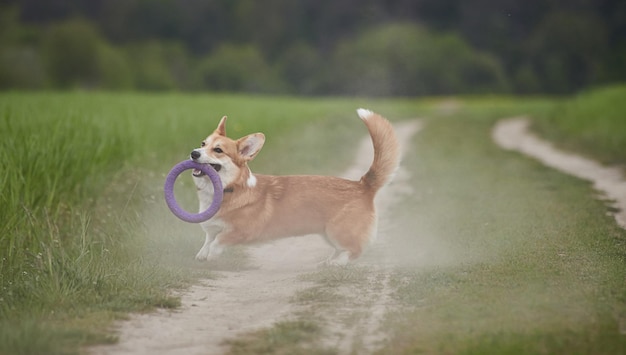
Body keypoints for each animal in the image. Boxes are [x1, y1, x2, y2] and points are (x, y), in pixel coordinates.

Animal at [188, 110, 398, 266]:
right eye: (203, 143)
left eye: (218, 150)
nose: (193, 153)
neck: (229, 188)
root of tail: (363, 184)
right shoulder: (211, 229)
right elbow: (208, 241)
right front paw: (202, 255)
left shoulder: (242, 232)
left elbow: (219, 241)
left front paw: (212, 255)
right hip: (328, 233)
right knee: (341, 249)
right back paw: (329, 261)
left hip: (337, 231)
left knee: (355, 250)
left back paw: (338, 263)